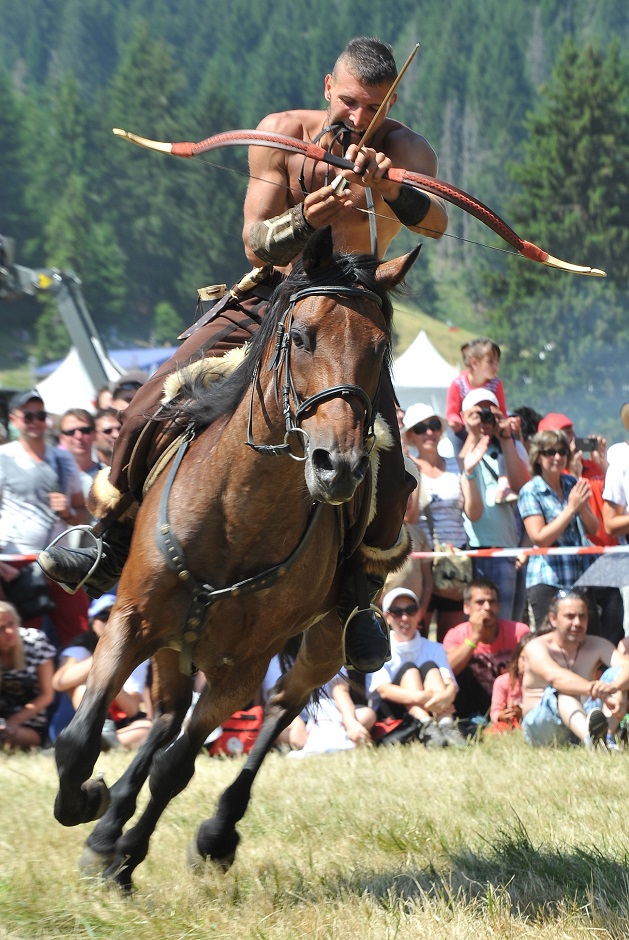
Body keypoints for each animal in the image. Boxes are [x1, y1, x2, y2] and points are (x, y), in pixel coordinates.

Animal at [54, 228, 418, 888]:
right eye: (302, 336)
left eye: (380, 350)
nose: (340, 466)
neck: (237, 514)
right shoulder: (131, 620)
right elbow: (79, 738)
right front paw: (91, 807)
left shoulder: (240, 669)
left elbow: (177, 768)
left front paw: (127, 855)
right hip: (173, 640)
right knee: (166, 715)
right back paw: (108, 822)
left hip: (320, 643)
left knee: (277, 708)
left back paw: (211, 831)